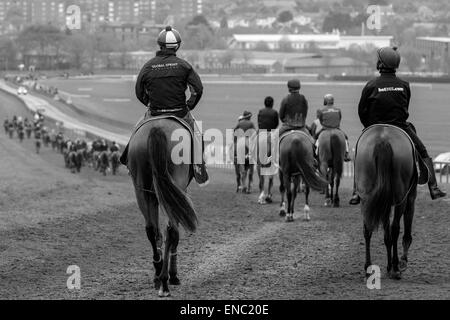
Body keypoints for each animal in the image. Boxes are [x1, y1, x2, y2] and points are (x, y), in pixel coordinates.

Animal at [126, 117, 197, 298]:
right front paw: (174, 275)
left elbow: (156, 232)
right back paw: (165, 281)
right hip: (175, 180)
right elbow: (174, 234)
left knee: (151, 229)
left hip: (141, 188)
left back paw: (158, 273)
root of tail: (157, 128)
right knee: (171, 230)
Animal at [356, 125, 418, 280]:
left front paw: (388, 266)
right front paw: (401, 262)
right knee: (396, 228)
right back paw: (396, 267)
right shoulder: (410, 197)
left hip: (366, 197)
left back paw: (368, 268)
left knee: (368, 229)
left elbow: (386, 234)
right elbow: (403, 231)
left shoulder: (383, 203)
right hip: (401, 198)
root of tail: (383, 141)